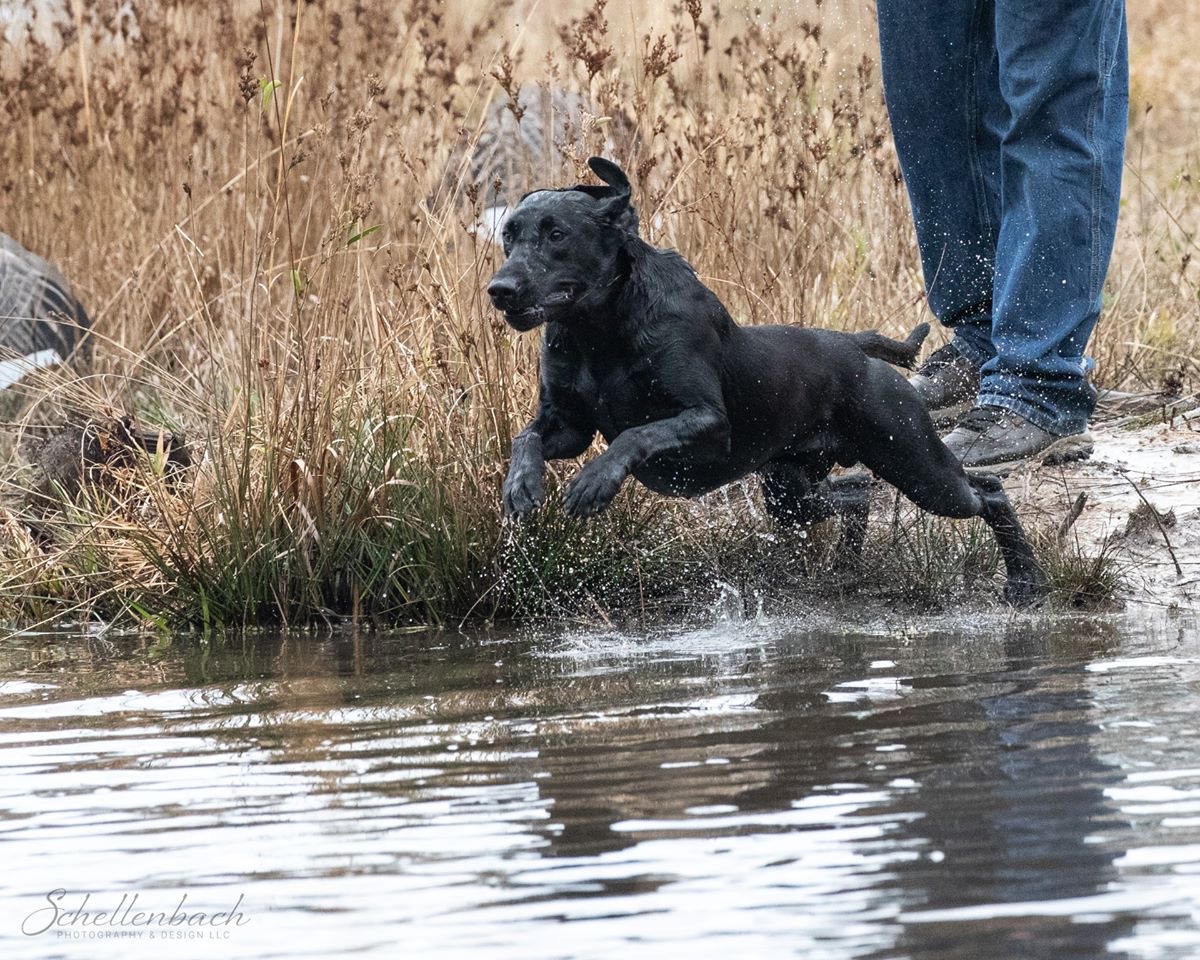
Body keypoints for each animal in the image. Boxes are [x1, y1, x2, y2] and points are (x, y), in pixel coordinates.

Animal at [487, 157, 1051, 607]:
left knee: (988, 490)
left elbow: (634, 435)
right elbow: (526, 438)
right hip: (791, 493)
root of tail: (854, 347)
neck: (598, 330)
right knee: (856, 493)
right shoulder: (568, 425)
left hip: (915, 462)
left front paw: (594, 483)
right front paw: (520, 486)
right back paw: (847, 567)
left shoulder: (707, 422)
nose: (499, 288)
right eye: (508, 236)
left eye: (557, 234)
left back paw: (1026, 581)